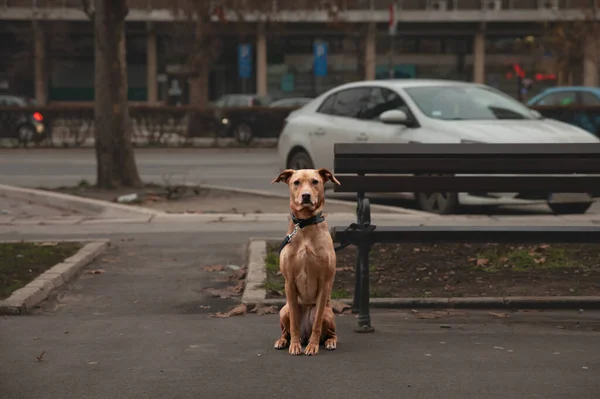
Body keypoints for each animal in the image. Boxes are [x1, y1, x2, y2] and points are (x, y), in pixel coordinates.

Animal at [270, 169, 340, 356]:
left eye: (315, 181)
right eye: (296, 182)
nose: (306, 195)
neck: (305, 225)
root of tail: (305, 335)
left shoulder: (324, 282)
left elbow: (317, 323)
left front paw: (313, 347)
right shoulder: (289, 282)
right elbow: (294, 322)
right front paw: (294, 346)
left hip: (328, 314)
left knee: (330, 332)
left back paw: (328, 342)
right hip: (284, 310)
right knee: (286, 330)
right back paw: (283, 341)